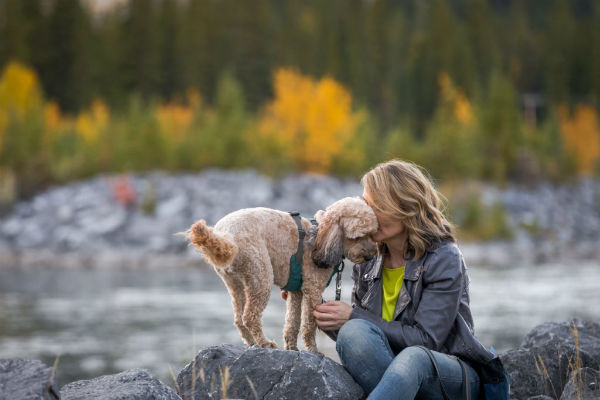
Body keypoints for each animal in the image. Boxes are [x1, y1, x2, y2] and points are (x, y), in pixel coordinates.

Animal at [185, 197, 378, 354]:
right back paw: (264, 343)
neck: (320, 234)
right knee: (250, 317)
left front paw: (292, 348)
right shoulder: (313, 288)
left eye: (372, 234)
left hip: (236, 284)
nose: (370, 256)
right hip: (261, 276)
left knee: (239, 319)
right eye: (359, 236)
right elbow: (309, 325)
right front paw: (313, 350)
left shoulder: (297, 292)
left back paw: (252, 342)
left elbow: (292, 323)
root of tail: (226, 236)